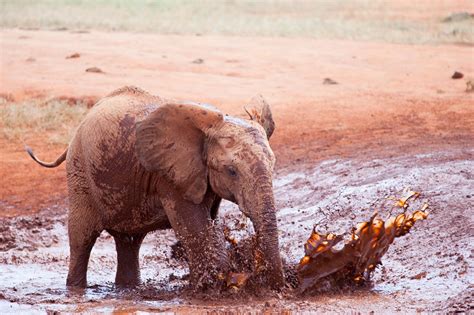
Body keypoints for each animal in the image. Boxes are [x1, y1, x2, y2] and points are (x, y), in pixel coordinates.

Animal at [26, 86, 286, 292]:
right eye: (231, 171)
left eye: (273, 164)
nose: (272, 285)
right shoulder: (170, 176)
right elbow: (195, 227)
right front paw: (214, 286)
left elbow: (207, 225)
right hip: (80, 171)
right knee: (82, 237)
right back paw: (76, 290)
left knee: (129, 242)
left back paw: (127, 288)